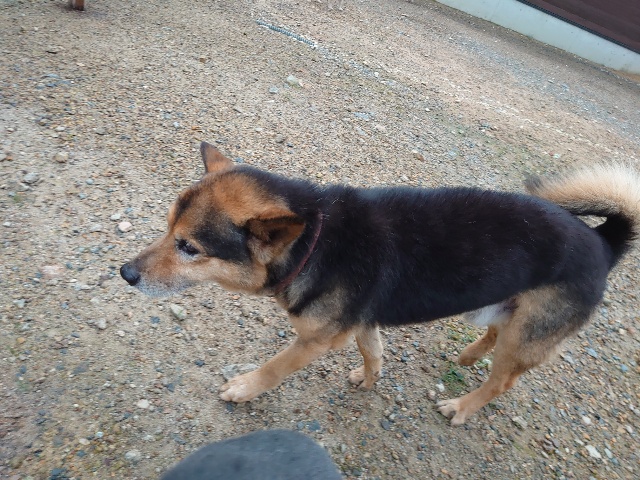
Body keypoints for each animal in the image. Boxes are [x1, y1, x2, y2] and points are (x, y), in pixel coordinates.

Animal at [121, 142, 640, 425]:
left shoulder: (316, 340)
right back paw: (469, 355)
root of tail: (603, 242)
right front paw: (369, 380)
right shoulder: (361, 320)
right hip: (506, 310)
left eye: (189, 247)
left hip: (529, 333)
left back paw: (463, 406)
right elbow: (373, 352)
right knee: (495, 331)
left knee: (502, 381)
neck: (314, 240)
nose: (126, 273)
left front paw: (245, 387)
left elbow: (275, 368)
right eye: (168, 230)